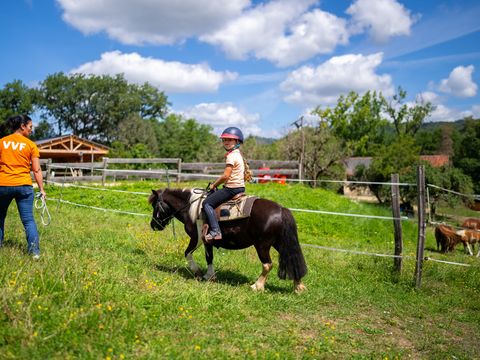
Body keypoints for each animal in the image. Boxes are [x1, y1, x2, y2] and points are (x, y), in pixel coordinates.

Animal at [148, 188, 310, 292]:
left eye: (155, 205)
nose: (153, 225)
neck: (192, 207)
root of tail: (281, 210)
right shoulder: (207, 241)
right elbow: (209, 257)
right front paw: (209, 275)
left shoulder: (197, 238)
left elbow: (189, 254)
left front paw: (201, 273)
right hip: (280, 243)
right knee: (292, 259)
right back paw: (298, 286)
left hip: (262, 245)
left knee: (267, 265)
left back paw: (257, 286)